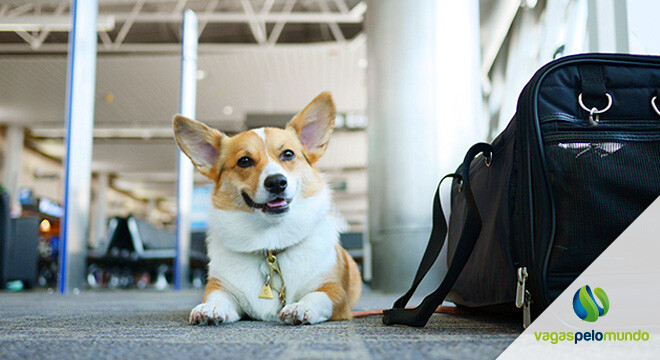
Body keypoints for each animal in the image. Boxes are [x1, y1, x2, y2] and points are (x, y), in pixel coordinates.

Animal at [173, 91, 360, 324]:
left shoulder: (334, 293)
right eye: (244, 161)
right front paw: (210, 308)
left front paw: (300, 307)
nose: (276, 182)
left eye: (288, 154)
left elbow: (317, 296)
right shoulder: (220, 286)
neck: (271, 243)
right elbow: (217, 297)